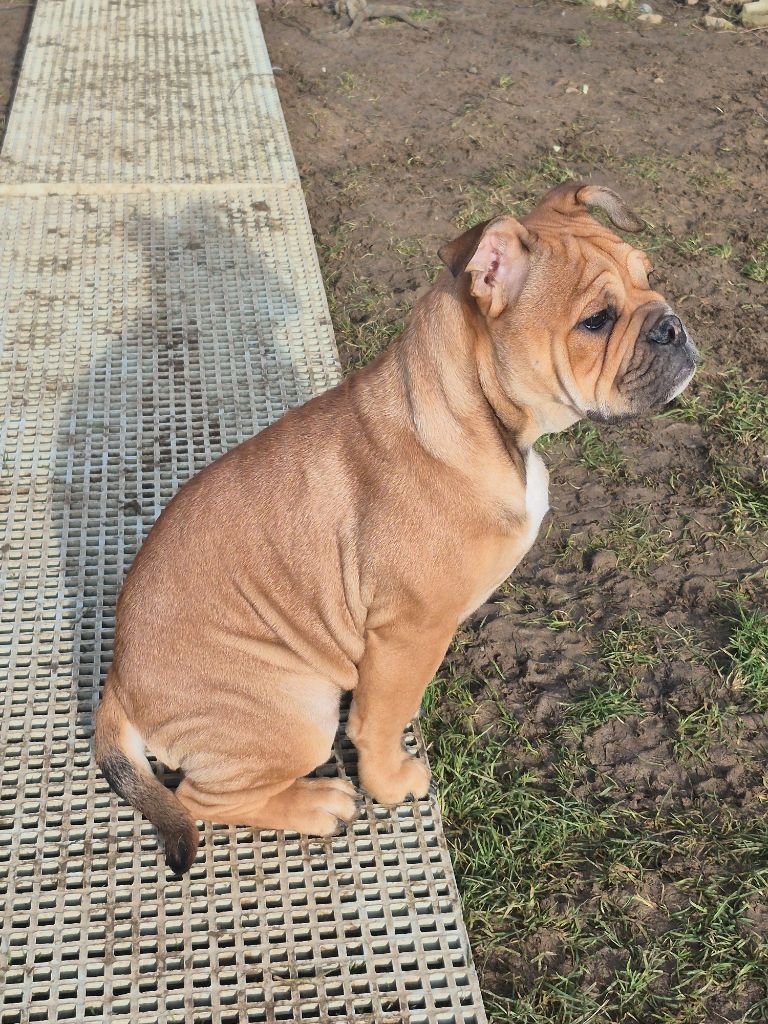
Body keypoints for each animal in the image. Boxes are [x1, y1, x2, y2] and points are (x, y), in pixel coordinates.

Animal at [95, 183, 698, 875]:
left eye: (648, 276)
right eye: (595, 321)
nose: (673, 324)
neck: (476, 415)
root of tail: (118, 685)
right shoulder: (407, 633)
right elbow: (382, 721)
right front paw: (390, 784)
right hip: (296, 711)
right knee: (199, 798)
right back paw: (317, 804)